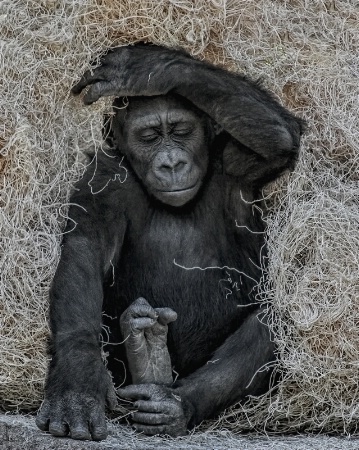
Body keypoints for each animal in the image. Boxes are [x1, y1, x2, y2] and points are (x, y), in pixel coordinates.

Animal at [35, 44, 304, 440]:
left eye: (180, 130)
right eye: (149, 136)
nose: (172, 162)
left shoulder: (236, 162)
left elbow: (279, 139)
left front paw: (146, 69)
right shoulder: (103, 180)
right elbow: (85, 253)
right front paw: (77, 385)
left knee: (274, 317)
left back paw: (172, 401)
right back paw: (146, 352)